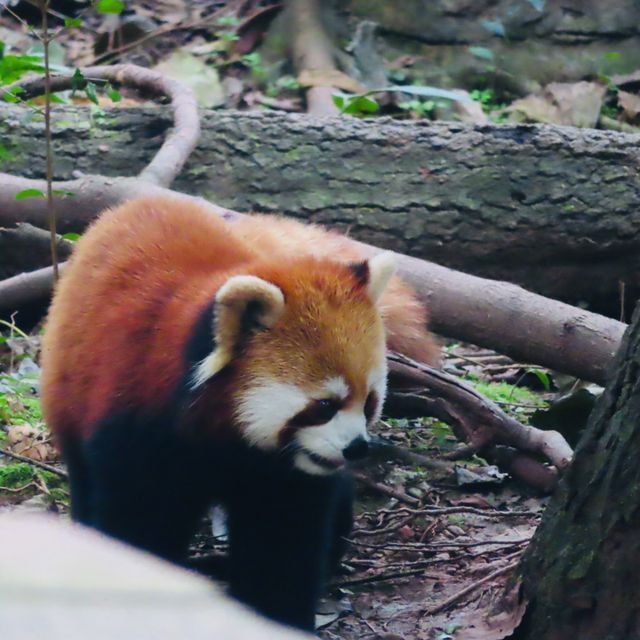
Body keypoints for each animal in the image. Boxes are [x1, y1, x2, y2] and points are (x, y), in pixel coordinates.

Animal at [41, 198, 440, 632]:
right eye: (324, 405)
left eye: (369, 402)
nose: (356, 448)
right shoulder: (137, 424)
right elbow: (137, 522)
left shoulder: (283, 474)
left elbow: (281, 541)